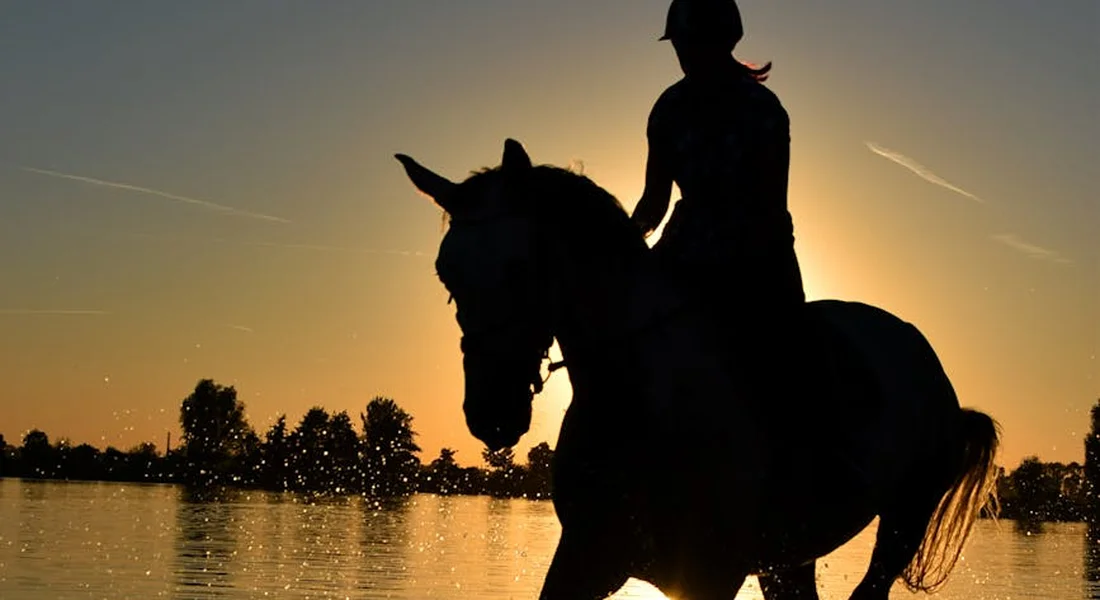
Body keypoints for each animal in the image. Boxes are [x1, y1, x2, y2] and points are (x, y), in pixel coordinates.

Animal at [395, 138, 1000, 600]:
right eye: (446, 272)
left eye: (521, 266)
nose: (491, 415)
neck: (642, 401)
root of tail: (926, 361)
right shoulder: (588, 557)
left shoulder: (710, 572)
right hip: (789, 557)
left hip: (902, 521)